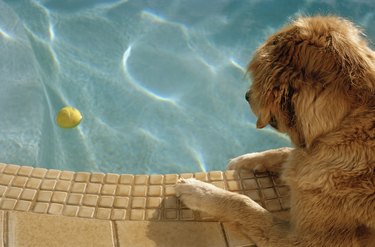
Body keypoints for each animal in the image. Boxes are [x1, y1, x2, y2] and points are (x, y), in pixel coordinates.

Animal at [176, 15, 375, 247]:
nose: (246, 95)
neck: (345, 125)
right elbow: (283, 153)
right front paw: (247, 160)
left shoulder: (308, 241)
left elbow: (244, 203)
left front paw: (199, 191)